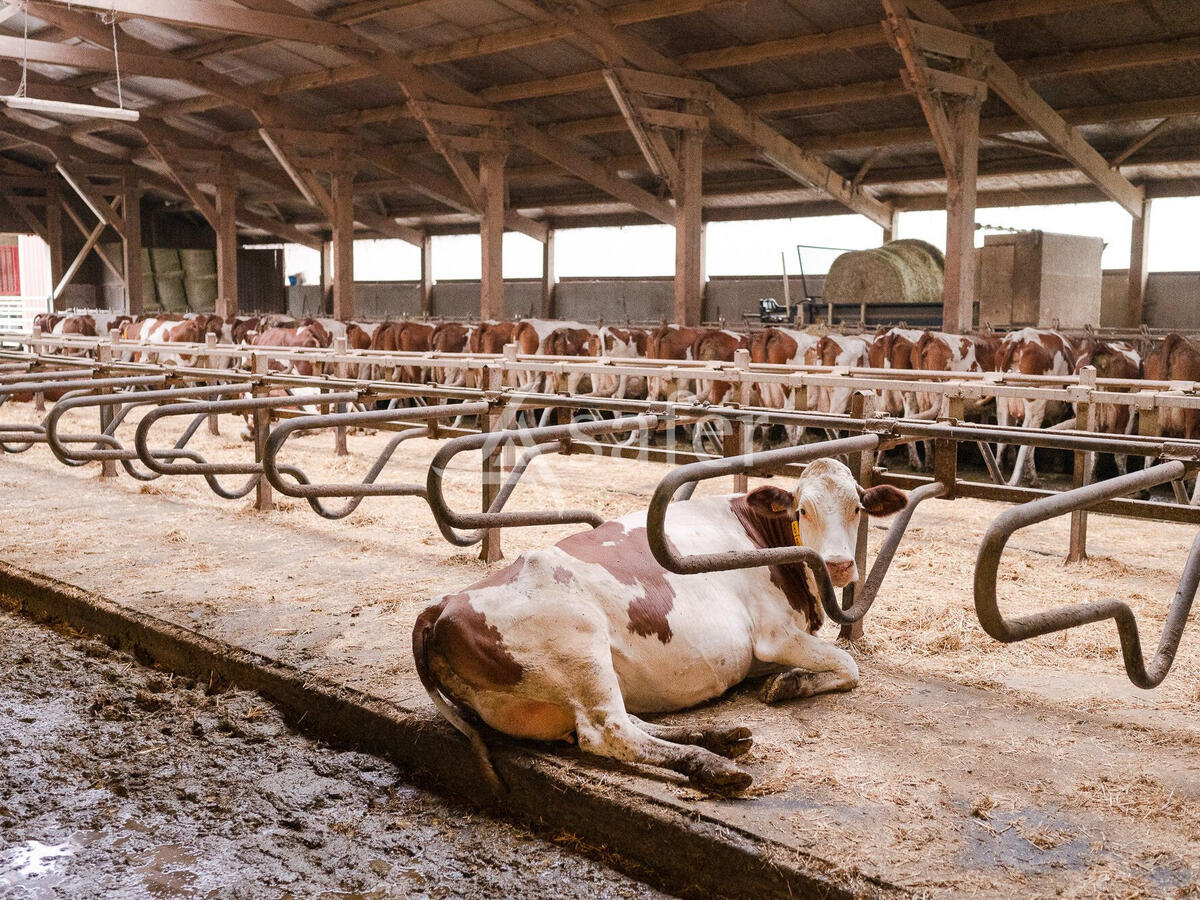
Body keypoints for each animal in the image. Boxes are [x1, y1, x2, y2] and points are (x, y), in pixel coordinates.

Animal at [415, 460, 907, 792]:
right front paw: (790, 684)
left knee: (623, 721)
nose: (839, 565)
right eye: (802, 510)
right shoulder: (774, 637)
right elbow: (849, 666)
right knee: (609, 732)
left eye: (858, 508)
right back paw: (710, 764)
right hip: (580, 647)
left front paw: (787, 682)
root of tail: (442, 606)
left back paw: (720, 738)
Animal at [993, 328, 1080, 489]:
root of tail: (1020, 338)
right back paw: (1033, 478)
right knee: (1028, 442)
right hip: (1035, 406)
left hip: (1001, 403)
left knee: (1001, 438)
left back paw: (998, 472)